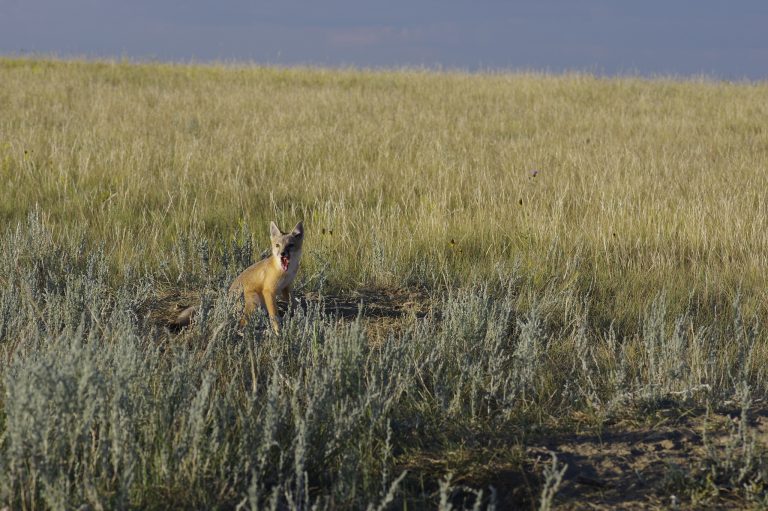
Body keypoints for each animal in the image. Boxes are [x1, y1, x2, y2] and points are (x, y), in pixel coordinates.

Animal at [172, 221, 304, 334]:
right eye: (277, 245)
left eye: (290, 245)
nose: (282, 253)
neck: (284, 271)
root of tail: (226, 300)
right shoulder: (268, 291)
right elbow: (275, 316)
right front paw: (278, 332)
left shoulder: (286, 287)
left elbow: (294, 305)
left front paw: (301, 318)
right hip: (254, 302)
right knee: (240, 324)